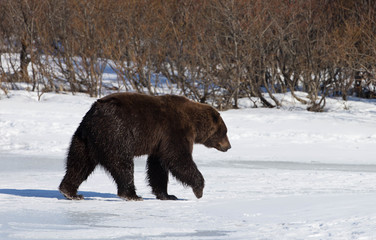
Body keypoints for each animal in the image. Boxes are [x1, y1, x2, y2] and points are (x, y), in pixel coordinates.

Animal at [58, 92, 231, 201]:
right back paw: (132, 195)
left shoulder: (160, 142)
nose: (228, 146)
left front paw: (167, 195)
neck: (194, 123)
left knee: (79, 162)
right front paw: (199, 189)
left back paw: (70, 192)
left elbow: (158, 166)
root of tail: (95, 114)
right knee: (122, 164)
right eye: (225, 131)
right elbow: (178, 158)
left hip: (84, 138)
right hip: (117, 133)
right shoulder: (175, 131)